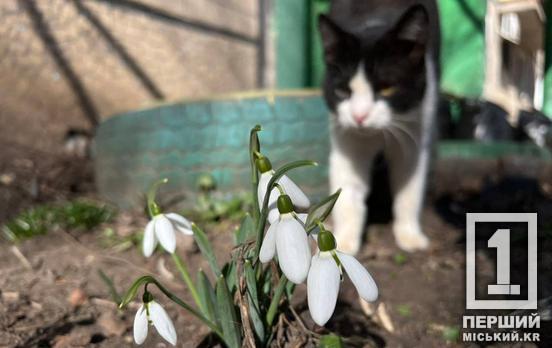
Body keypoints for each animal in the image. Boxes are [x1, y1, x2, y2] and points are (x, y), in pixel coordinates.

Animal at [320, 1, 440, 254]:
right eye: (342, 91)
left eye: (386, 89)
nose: (359, 115)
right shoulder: (346, 137)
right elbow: (347, 188)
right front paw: (343, 242)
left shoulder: (414, 131)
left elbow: (409, 188)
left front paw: (410, 236)